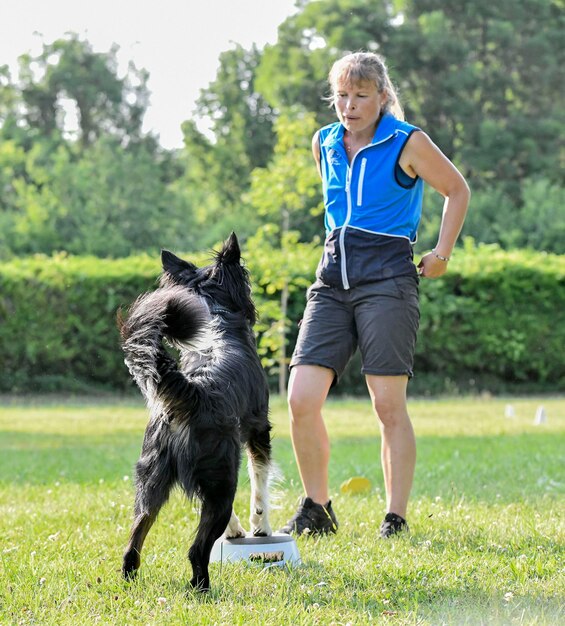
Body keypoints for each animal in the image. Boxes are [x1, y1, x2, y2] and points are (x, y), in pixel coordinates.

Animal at [120, 232, 274, 588]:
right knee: (196, 548)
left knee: (135, 534)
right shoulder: (259, 429)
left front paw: (236, 531)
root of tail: (194, 393)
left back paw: (129, 576)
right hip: (221, 478)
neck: (217, 316)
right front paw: (259, 526)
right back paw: (202, 587)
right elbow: (260, 480)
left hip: (151, 480)